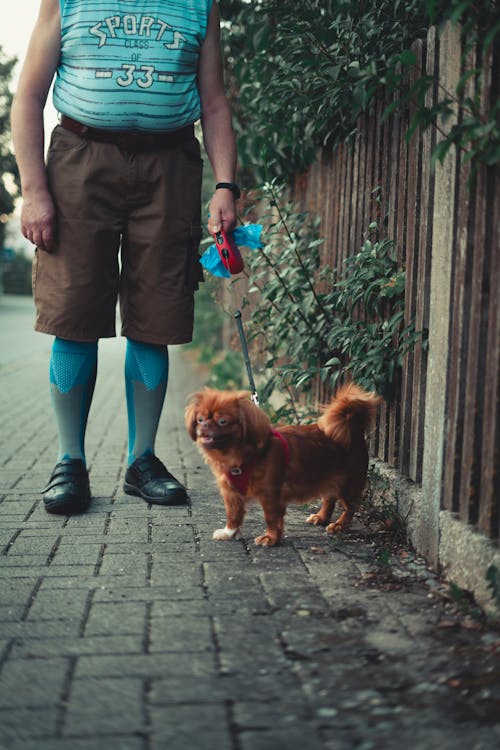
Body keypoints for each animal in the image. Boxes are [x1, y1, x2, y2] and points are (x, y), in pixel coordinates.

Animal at [186, 384, 380, 548]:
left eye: (222, 421)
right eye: (200, 419)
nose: (204, 425)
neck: (236, 454)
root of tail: (352, 425)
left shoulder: (270, 494)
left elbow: (271, 518)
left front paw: (270, 538)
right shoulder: (231, 493)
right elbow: (233, 514)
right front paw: (229, 532)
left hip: (348, 486)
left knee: (351, 507)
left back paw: (339, 525)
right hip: (329, 478)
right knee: (329, 499)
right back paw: (321, 517)